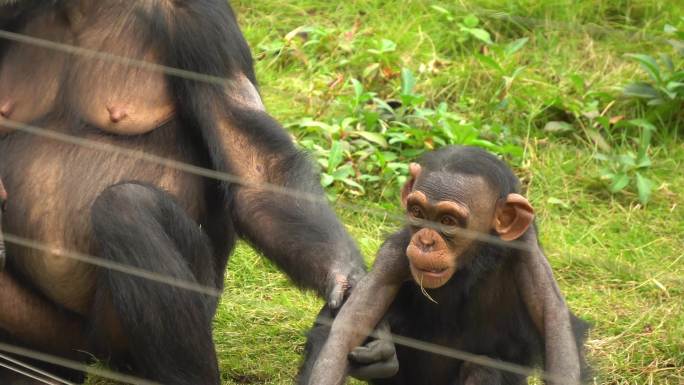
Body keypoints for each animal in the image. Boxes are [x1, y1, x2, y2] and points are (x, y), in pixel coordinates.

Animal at [0, 0, 396, 384]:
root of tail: (79, 359)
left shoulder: (205, 25)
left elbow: (254, 167)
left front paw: (349, 287)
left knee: (127, 209)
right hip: (47, 335)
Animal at [302, 146, 592, 384]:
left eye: (448, 221)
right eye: (418, 213)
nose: (425, 241)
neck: (472, 261)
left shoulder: (526, 251)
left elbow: (553, 320)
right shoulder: (393, 256)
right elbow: (352, 324)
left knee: (484, 368)